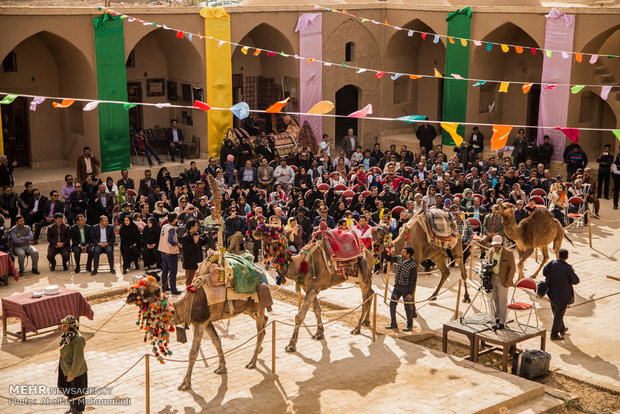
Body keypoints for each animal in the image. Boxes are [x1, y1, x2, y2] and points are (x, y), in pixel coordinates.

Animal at [126, 272, 268, 392]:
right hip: (248, 308)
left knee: (260, 330)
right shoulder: (207, 320)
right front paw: (222, 368)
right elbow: (216, 341)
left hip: (258, 305)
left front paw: (185, 384)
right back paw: (259, 351)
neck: (187, 304)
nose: (129, 296)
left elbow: (193, 353)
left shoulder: (200, 322)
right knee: (265, 321)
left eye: (148, 290)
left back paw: (252, 362)